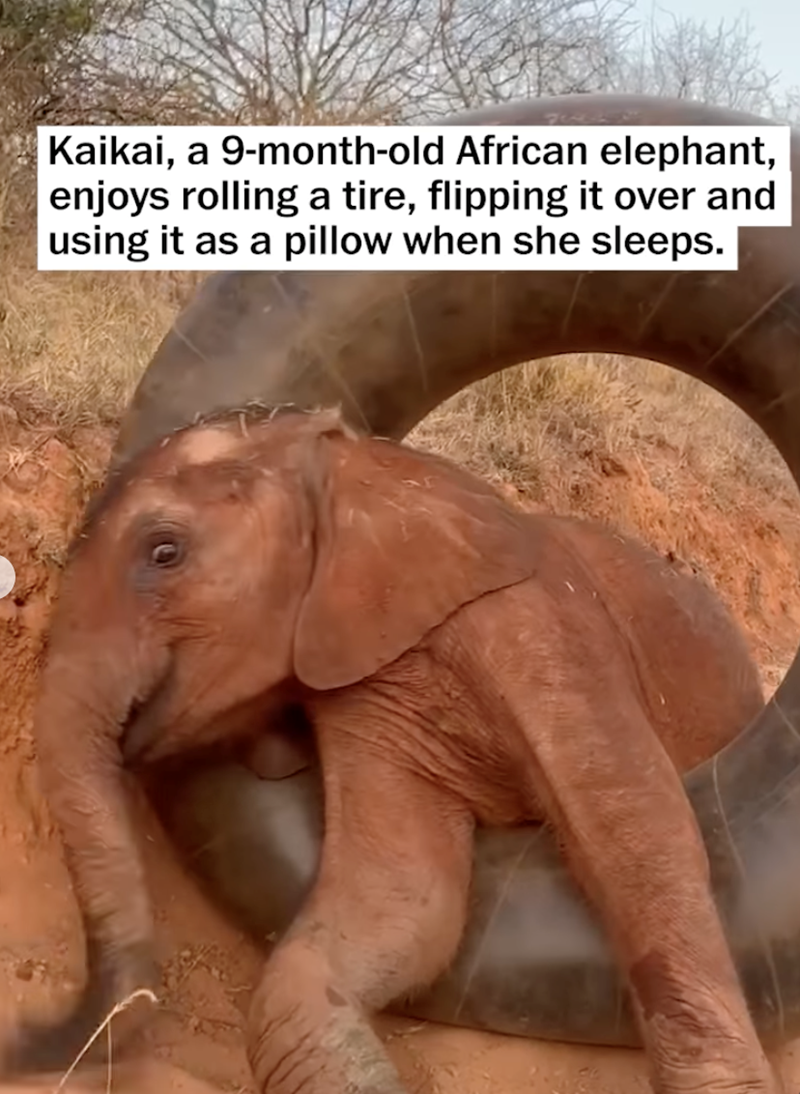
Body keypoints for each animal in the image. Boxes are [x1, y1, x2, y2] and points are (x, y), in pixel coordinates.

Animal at [2, 401, 781, 1094]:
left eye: (164, 552)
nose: (29, 1037)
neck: (361, 469)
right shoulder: (370, 683)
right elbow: (406, 897)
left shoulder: (547, 624)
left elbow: (640, 835)